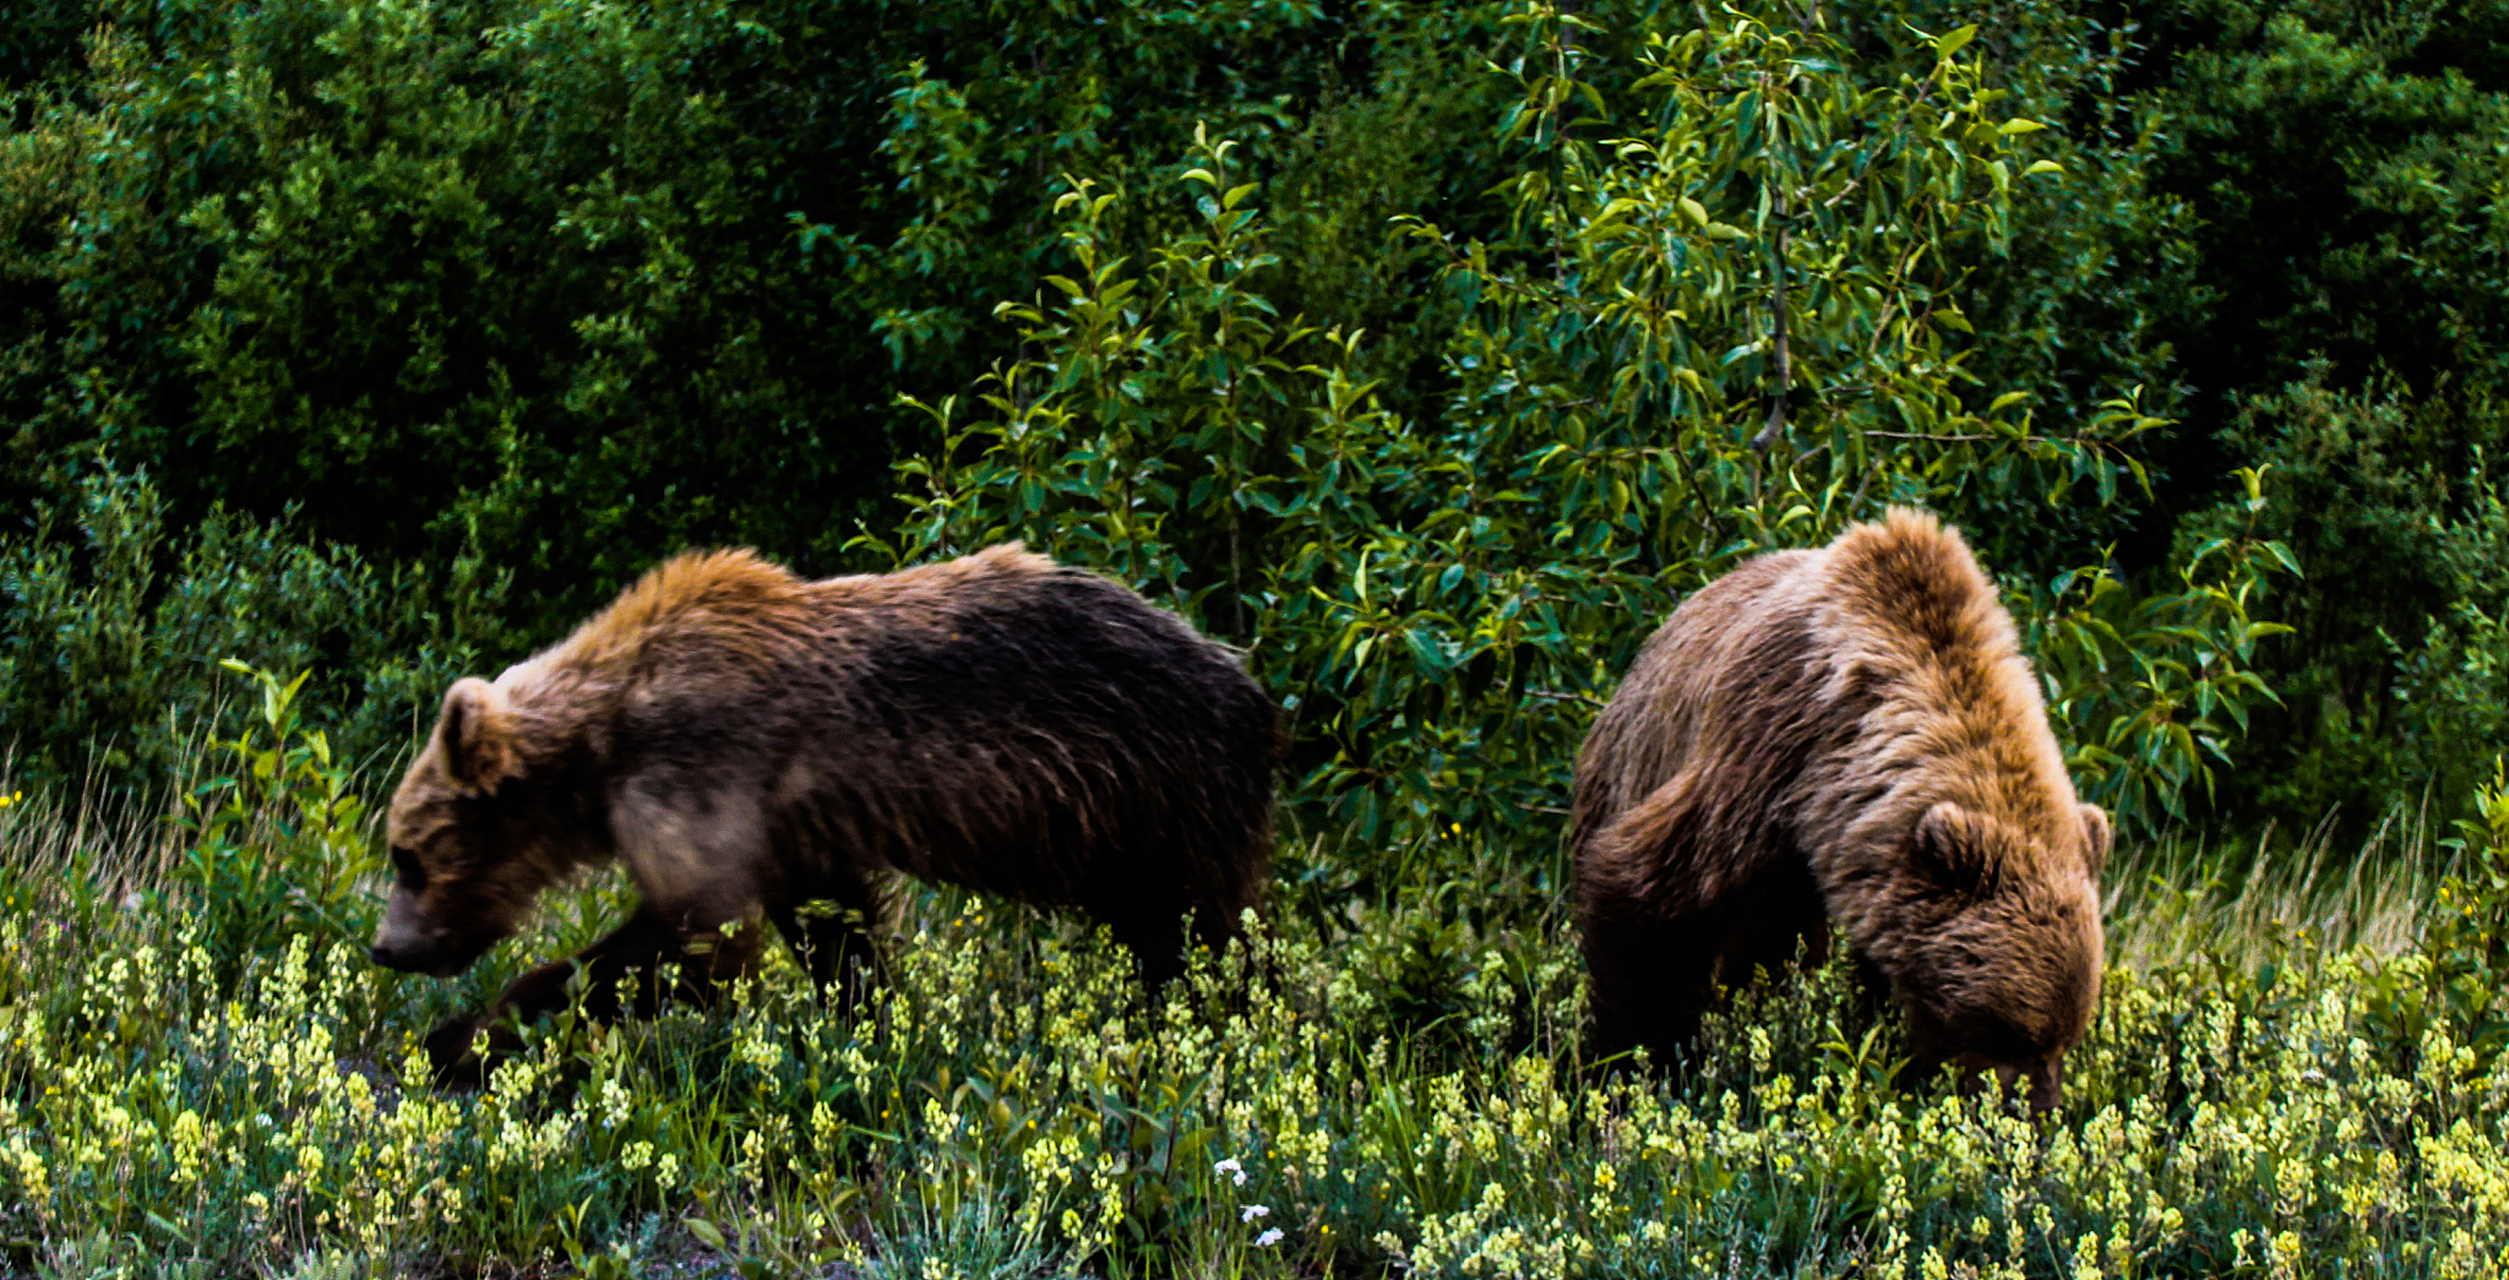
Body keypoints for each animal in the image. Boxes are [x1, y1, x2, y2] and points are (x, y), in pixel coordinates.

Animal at [371, 542, 1274, 1079]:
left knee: (1199, 934)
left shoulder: (695, 770)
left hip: (1156, 797)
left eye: (406, 854)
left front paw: (462, 1037)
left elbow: (700, 933)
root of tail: (1248, 684)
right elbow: (833, 929)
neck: (597, 746)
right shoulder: (791, 830)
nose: (387, 947)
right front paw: (873, 1023)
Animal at [1575, 509, 2107, 1109]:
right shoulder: (1763, 748)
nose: (2039, 1112)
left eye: (2068, 1035)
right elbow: (1644, 893)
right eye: (2010, 1030)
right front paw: (1633, 1070)